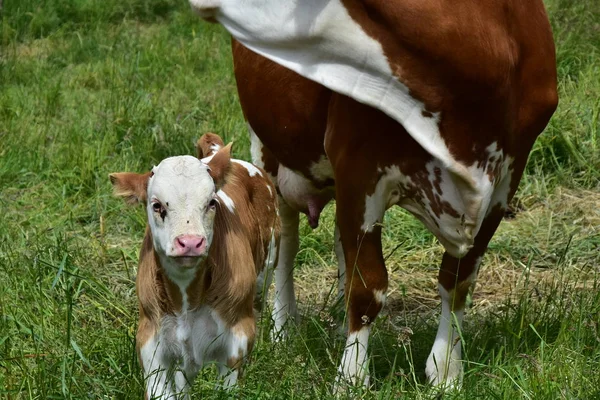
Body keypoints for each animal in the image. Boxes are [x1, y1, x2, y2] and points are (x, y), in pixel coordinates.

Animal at [108, 134, 282, 396]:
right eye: (157, 205)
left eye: (211, 203)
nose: (190, 242)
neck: (186, 300)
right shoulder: (150, 339)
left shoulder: (238, 336)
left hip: (267, 267)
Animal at [190, 0, 560, 390]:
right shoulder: (358, 167)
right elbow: (368, 286)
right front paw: (351, 377)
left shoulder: (505, 181)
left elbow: (457, 281)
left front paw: (445, 371)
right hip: (270, 149)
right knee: (285, 244)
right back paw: (285, 326)